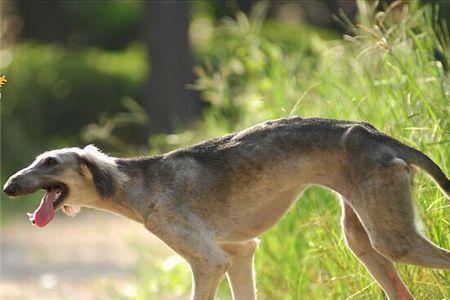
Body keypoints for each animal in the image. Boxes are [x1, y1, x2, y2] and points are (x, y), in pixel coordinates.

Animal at [3, 118, 450, 300]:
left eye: (50, 162)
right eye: (36, 160)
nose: (7, 186)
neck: (138, 181)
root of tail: (374, 133)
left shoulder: (209, 261)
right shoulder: (240, 252)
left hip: (393, 239)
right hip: (363, 237)